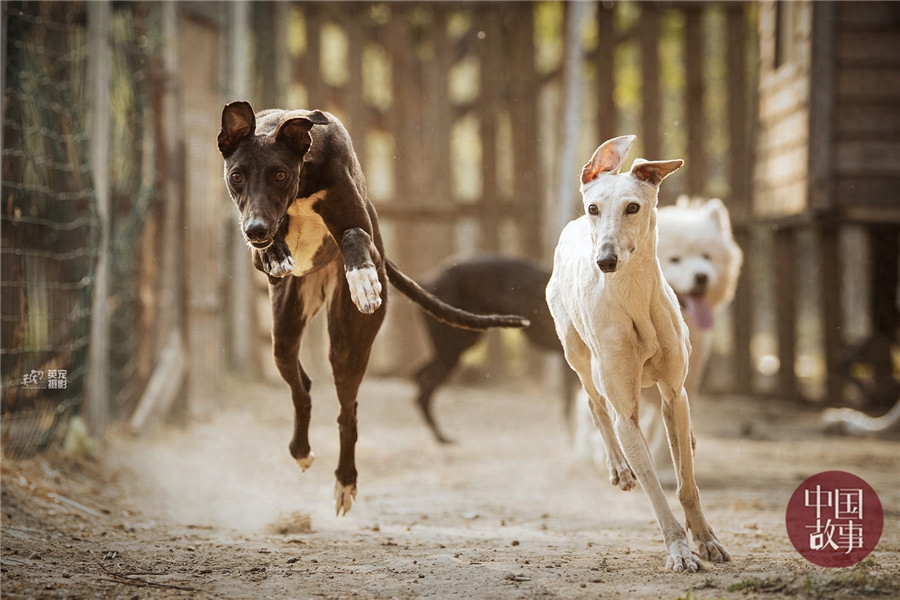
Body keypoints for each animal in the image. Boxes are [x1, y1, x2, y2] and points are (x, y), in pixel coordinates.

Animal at [548, 135, 732, 572]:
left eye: (633, 207)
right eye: (594, 208)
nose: (605, 260)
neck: (631, 298)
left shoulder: (672, 393)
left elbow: (686, 482)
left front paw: (706, 540)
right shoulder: (626, 409)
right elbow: (652, 484)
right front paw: (680, 549)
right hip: (577, 353)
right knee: (593, 402)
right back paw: (618, 466)